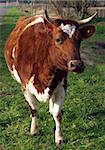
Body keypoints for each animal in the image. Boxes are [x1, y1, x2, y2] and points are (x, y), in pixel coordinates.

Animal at [4, 9, 97, 145]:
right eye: (58, 39)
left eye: (80, 40)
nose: (77, 64)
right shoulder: (26, 87)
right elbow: (34, 110)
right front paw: (34, 130)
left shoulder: (61, 85)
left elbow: (57, 114)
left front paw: (59, 138)